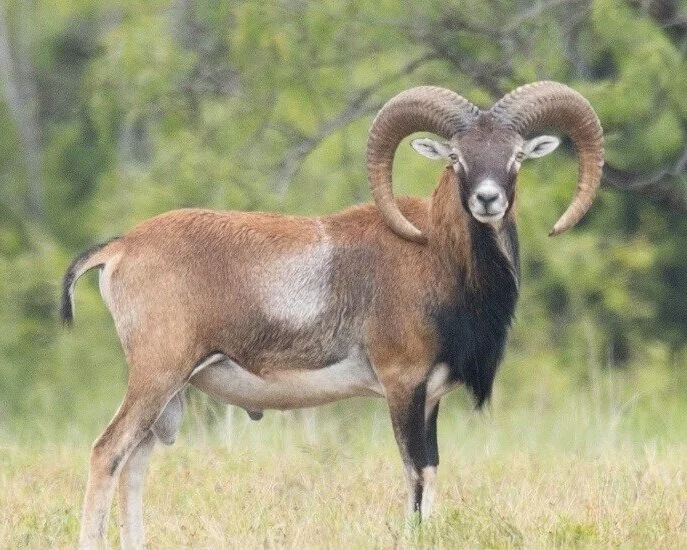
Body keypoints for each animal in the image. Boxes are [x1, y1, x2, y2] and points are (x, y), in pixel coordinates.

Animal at [62, 81, 603, 548]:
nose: (487, 200)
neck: (437, 258)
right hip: (156, 376)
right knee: (107, 454)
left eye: (516, 155)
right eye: (456, 157)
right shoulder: (402, 385)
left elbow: (430, 470)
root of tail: (120, 249)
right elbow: (414, 472)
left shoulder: (428, 398)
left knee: (134, 465)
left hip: (168, 393)